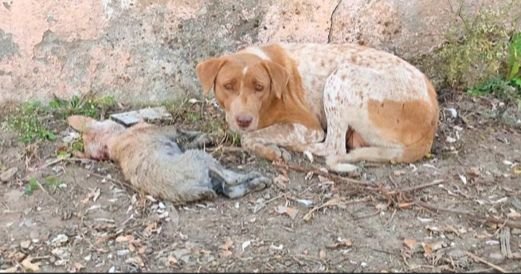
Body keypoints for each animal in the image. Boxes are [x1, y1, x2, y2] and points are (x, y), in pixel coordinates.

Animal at [195, 42, 438, 171]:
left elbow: (249, 137)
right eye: (228, 86)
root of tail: (432, 122)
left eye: (259, 87)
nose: (244, 120)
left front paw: (270, 149)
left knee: (333, 148)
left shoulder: (307, 127)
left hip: (340, 78)